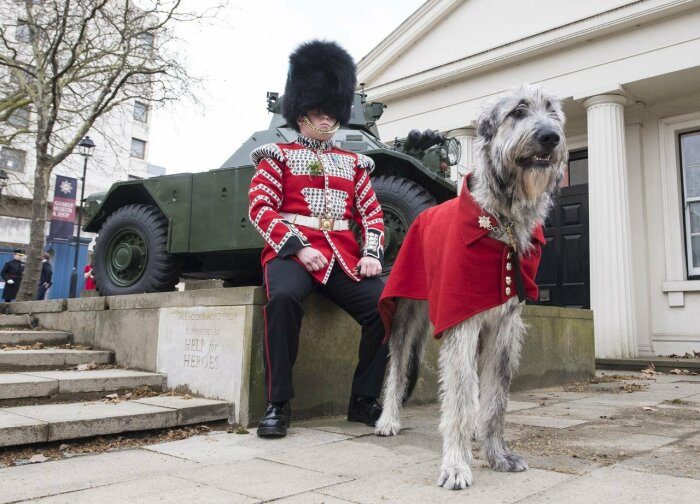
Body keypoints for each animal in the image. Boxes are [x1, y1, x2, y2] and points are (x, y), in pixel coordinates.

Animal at [374, 84, 568, 490]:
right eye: (518, 111)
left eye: (553, 113)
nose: (550, 137)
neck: (502, 221)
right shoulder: (461, 320)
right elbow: (460, 397)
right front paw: (456, 466)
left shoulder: (504, 327)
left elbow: (494, 399)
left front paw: (497, 455)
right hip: (406, 314)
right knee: (398, 366)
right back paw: (388, 419)